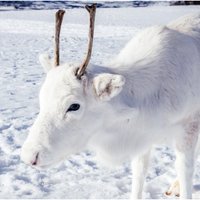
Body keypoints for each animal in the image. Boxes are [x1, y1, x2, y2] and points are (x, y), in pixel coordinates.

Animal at [20, 4, 200, 198]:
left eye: (74, 106)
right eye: (42, 98)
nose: (30, 156)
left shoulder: (189, 127)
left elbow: (185, 171)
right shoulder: (142, 137)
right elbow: (139, 172)